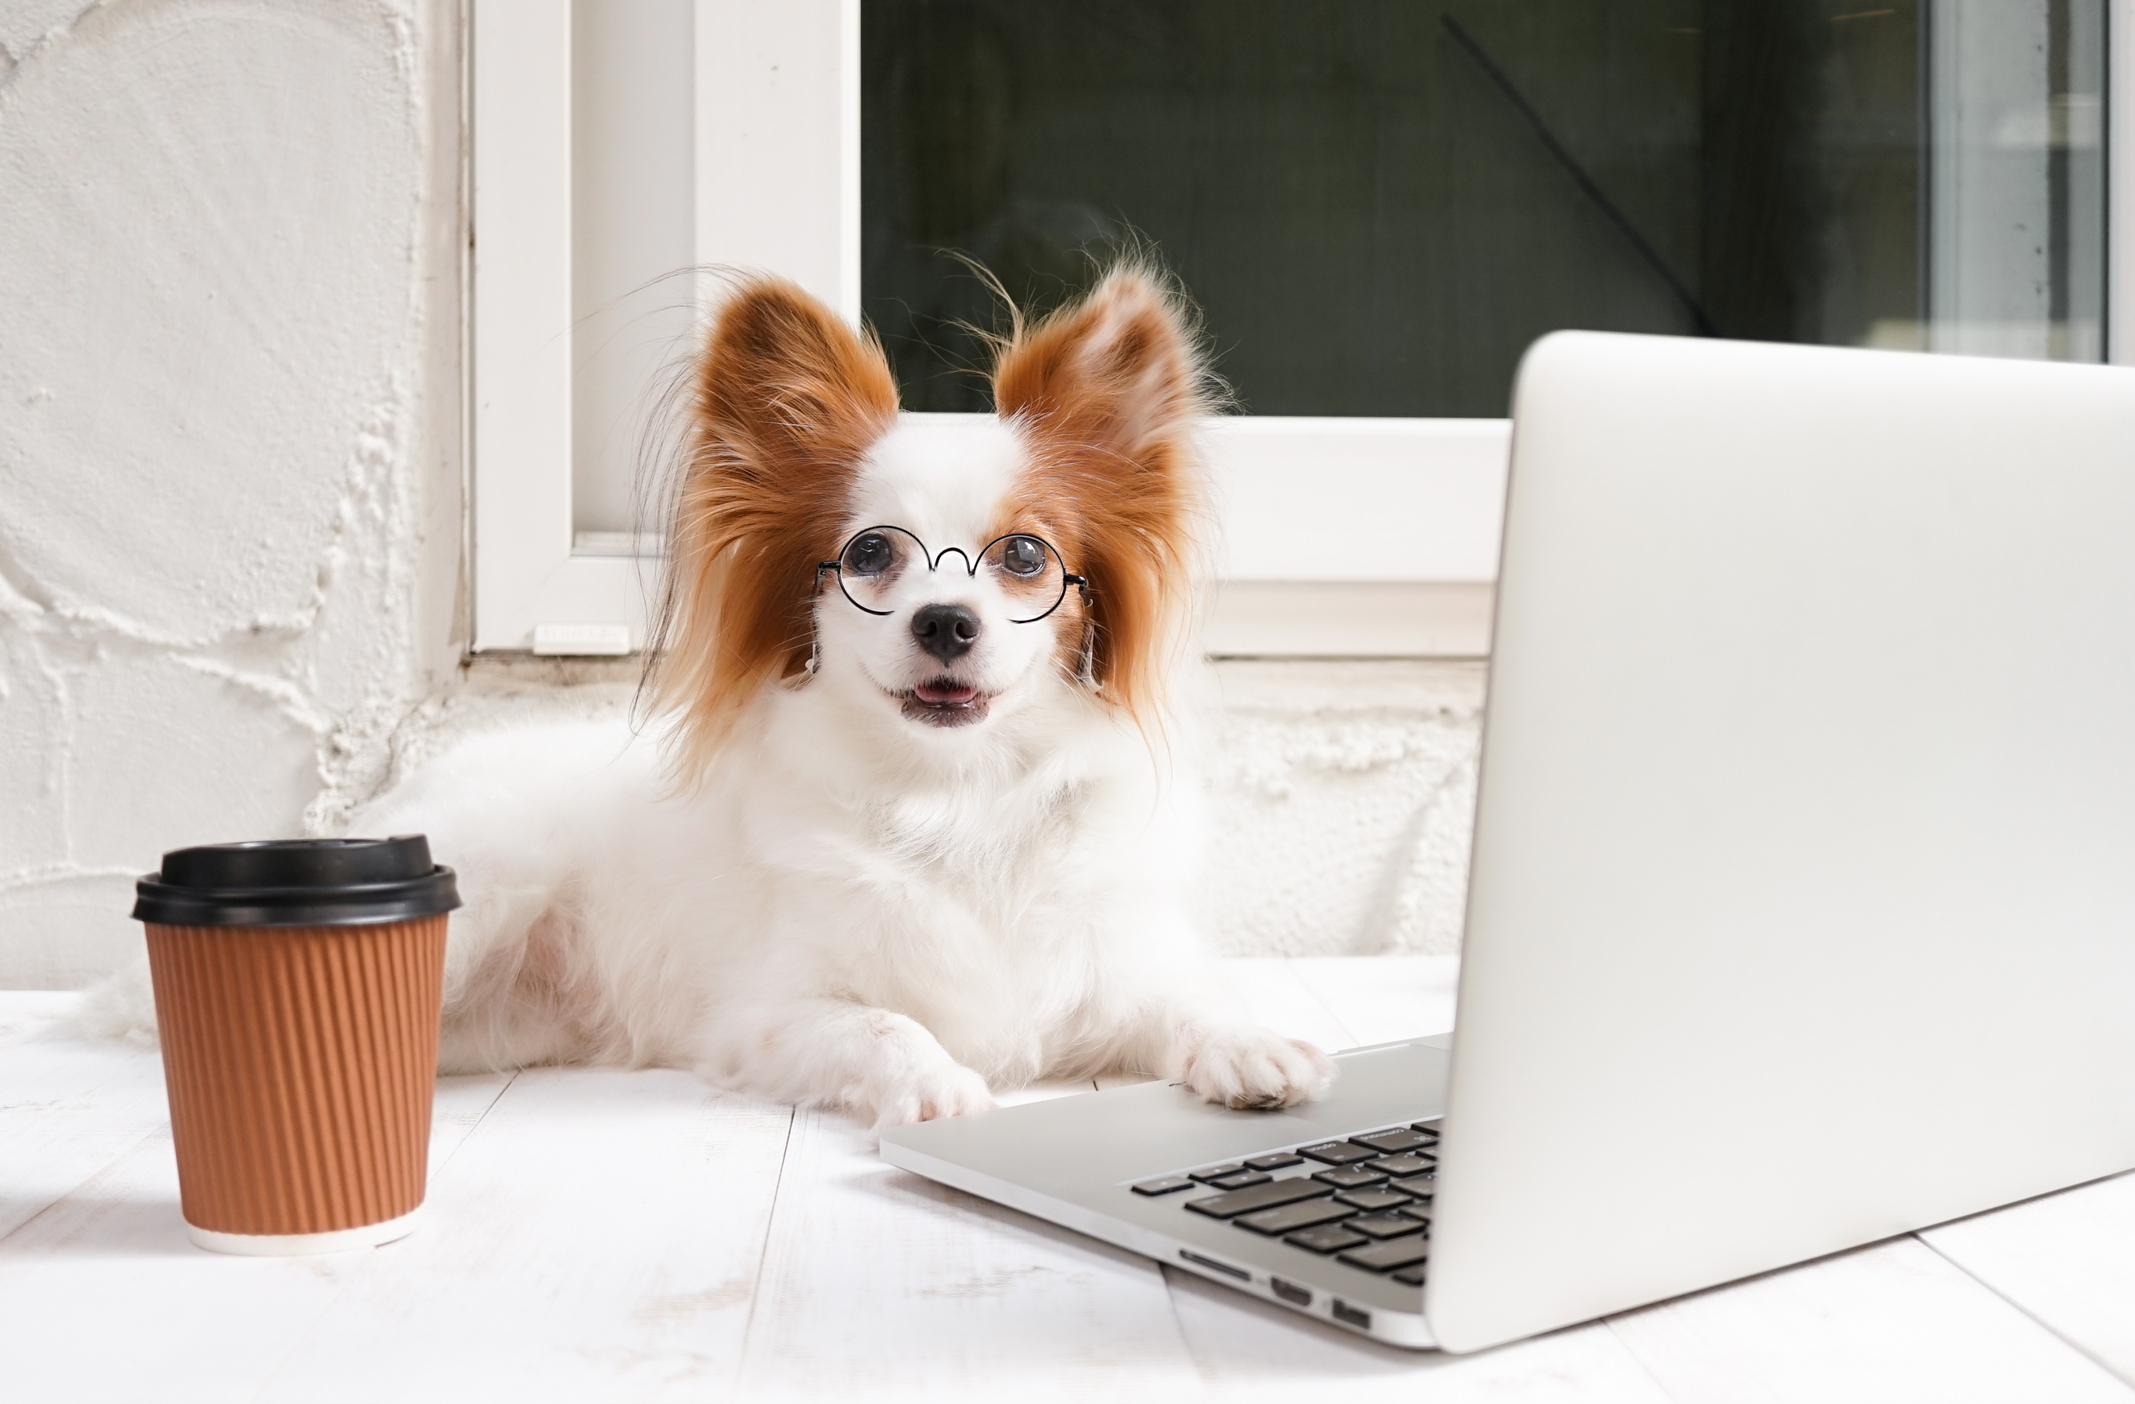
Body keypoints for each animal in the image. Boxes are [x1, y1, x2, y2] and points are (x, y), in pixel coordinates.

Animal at [345, 262, 1332, 1126]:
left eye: (1022, 555)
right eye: (869, 553)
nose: (945, 621)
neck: (958, 798)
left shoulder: (1118, 972)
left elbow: (1191, 998)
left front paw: (1249, 1044)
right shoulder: (764, 1016)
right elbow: (885, 1025)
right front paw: (939, 1086)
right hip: (484, 894)